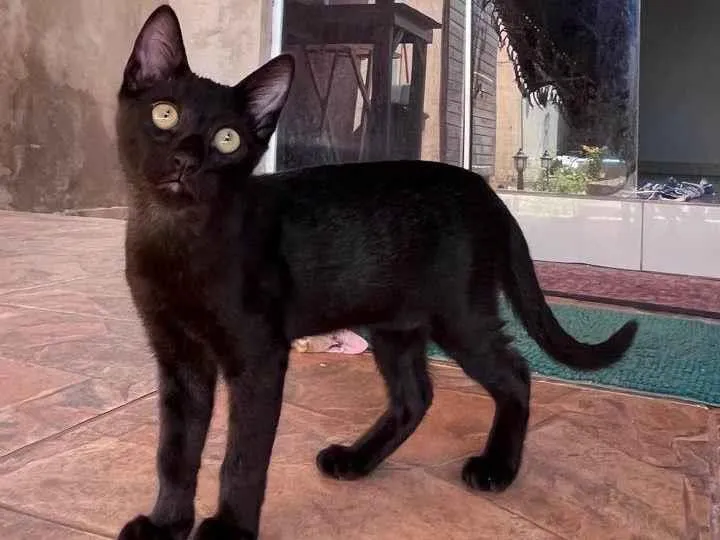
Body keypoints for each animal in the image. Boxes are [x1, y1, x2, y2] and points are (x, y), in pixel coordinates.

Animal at [116, 6, 638, 540]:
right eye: (165, 114)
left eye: (227, 139)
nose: (186, 159)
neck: (176, 241)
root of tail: (487, 192)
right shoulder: (178, 359)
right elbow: (175, 452)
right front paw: (166, 524)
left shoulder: (258, 357)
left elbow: (243, 457)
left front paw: (228, 530)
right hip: (393, 325)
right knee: (416, 396)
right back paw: (357, 460)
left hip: (461, 315)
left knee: (515, 373)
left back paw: (496, 468)